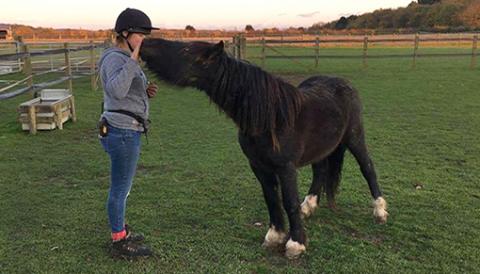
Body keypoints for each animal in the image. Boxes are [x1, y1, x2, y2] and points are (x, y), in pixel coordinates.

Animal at [141, 39, 388, 260]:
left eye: (185, 50)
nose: (145, 43)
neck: (270, 117)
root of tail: (343, 83)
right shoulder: (258, 166)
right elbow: (271, 198)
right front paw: (275, 236)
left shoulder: (286, 167)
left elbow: (288, 201)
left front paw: (296, 244)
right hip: (322, 148)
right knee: (321, 171)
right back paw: (308, 207)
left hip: (354, 138)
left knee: (368, 168)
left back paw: (380, 211)